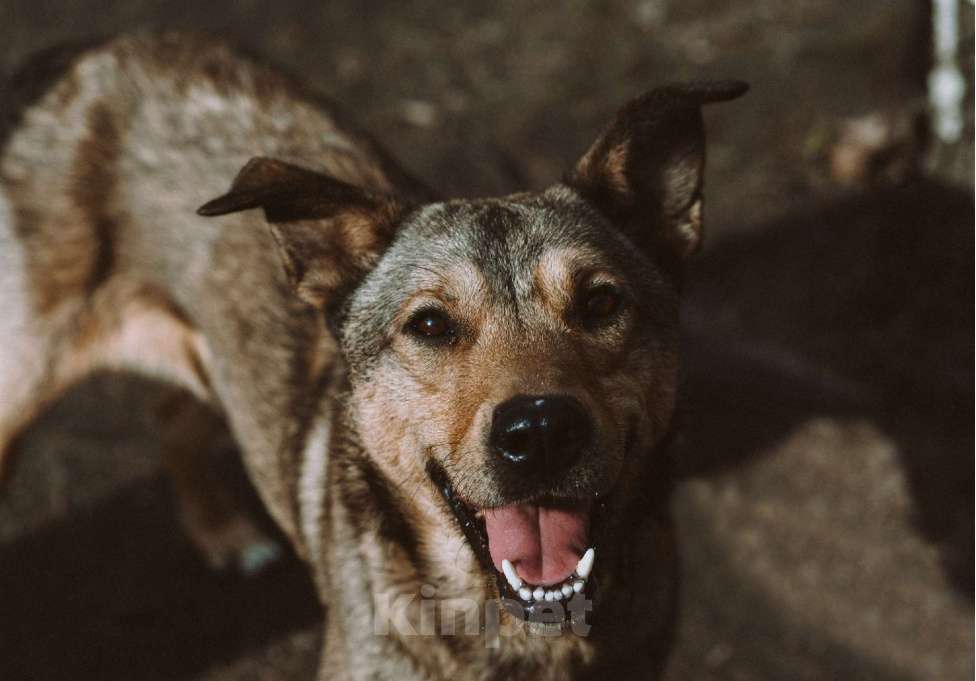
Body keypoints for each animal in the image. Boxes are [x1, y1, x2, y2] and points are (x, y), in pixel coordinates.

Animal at [1, 30, 748, 680]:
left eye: (599, 303)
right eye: (431, 324)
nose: (540, 432)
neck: (519, 629)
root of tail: (89, 49)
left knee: (171, 414)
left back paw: (222, 530)